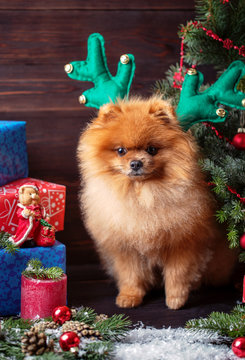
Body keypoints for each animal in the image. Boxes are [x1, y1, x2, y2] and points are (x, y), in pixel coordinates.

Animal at [77, 97, 237, 310]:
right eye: (121, 151)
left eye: (152, 149)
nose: (136, 163)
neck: (143, 195)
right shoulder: (126, 247)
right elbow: (131, 275)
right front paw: (129, 296)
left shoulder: (182, 243)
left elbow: (177, 275)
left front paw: (176, 299)